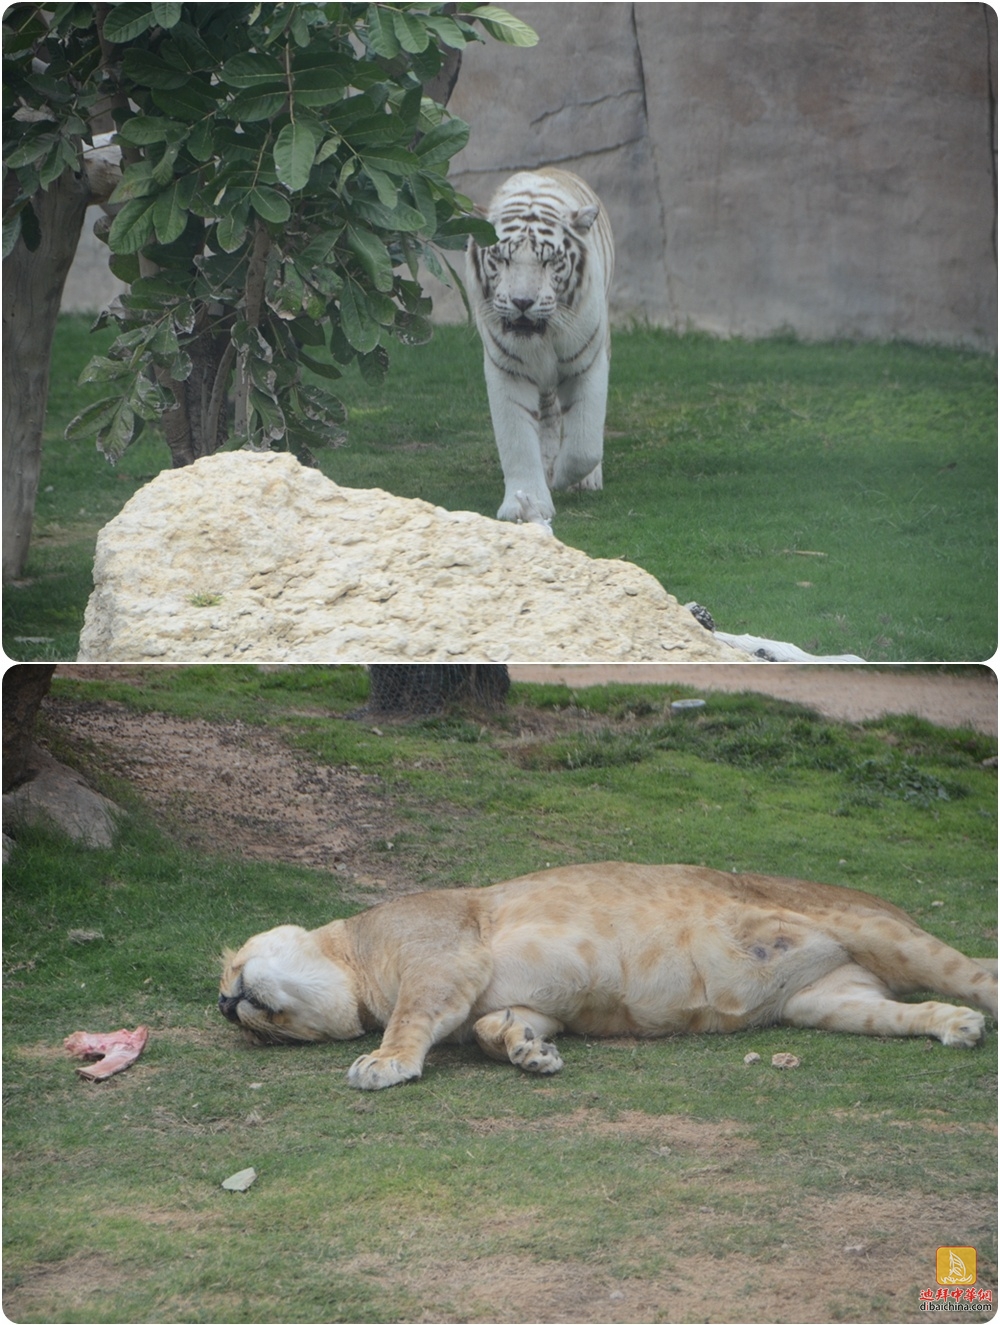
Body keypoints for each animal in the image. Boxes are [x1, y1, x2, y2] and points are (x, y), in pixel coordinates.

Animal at [217, 858, 996, 1086]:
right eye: (261, 1037)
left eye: (229, 974)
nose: (228, 1005)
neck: (356, 956)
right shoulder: (505, 998)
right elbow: (495, 1026)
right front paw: (528, 1052)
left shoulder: (442, 954)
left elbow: (413, 1017)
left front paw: (383, 1062)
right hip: (827, 1002)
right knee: (901, 1010)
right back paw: (954, 1026)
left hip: (874, 930)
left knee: (977, 969)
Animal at [466, 172, 614, 527]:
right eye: (503, 258)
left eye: (548, 261)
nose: (522, 302)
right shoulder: (508, 369)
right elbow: (517, 441)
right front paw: (526, 502)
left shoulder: (588, 361)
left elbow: (585, 443)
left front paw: (566, 477)